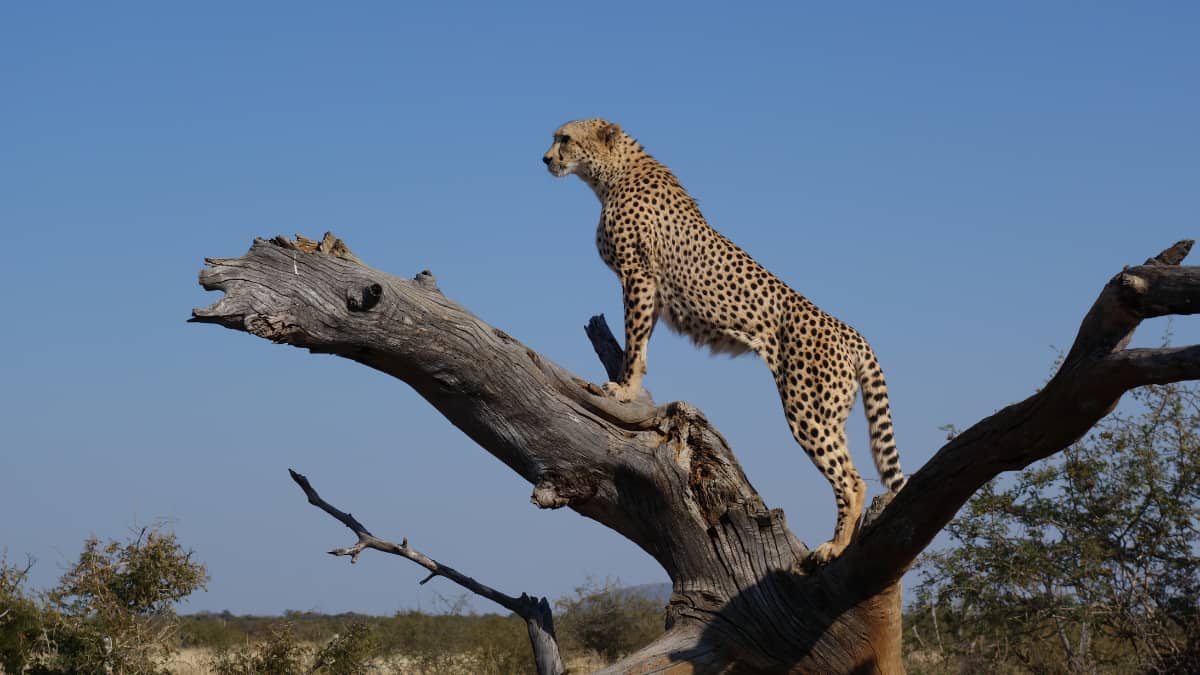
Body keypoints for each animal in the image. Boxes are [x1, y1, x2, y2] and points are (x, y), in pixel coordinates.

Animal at [543, 118, 907, 562]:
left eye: (565, 139)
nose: (545, 158)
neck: (612, 174)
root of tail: (850, 331)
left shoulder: (638, 276)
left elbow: (634, 339)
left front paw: (624, 389)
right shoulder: (651, 288)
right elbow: (641, 343)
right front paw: (631, 383)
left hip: (808, 408)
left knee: (852, 480)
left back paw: (834, 546)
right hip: (831, 412)